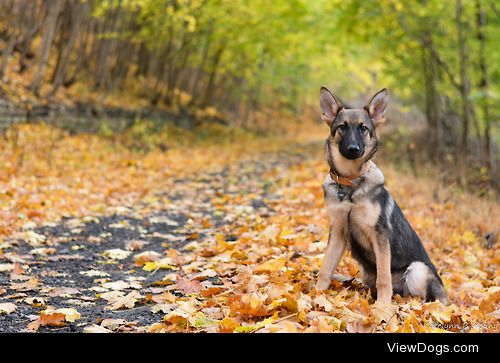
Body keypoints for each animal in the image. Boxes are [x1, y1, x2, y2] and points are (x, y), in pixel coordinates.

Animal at [314, 86, 448, 306]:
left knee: (420, 298)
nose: (353, 149)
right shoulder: (338, 232)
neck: (351, 182)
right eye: (342, 127)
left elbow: (384, 278)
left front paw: (383, 307)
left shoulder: (380, 235)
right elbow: (326, 267)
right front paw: (316, 294)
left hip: (417, 270)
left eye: (363, 128)